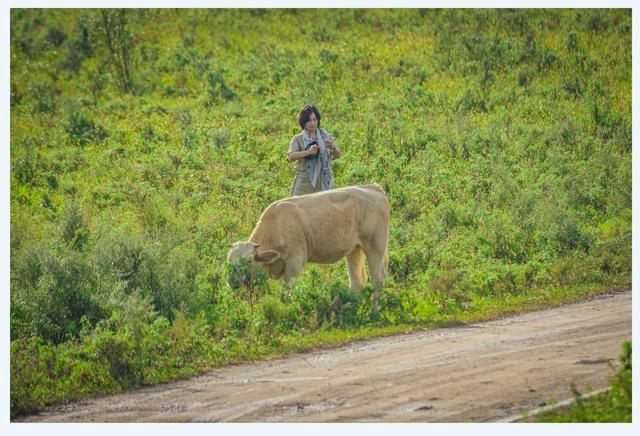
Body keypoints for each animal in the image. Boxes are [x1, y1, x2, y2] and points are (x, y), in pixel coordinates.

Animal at [228, 184, 392, 292]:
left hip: (375, 247)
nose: (232, 282)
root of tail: (373, 188)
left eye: (249, 261)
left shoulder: (295, 262)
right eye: (229, 262)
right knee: (357, 281)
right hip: (354, 250)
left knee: (378, 279)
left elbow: (287, 291)